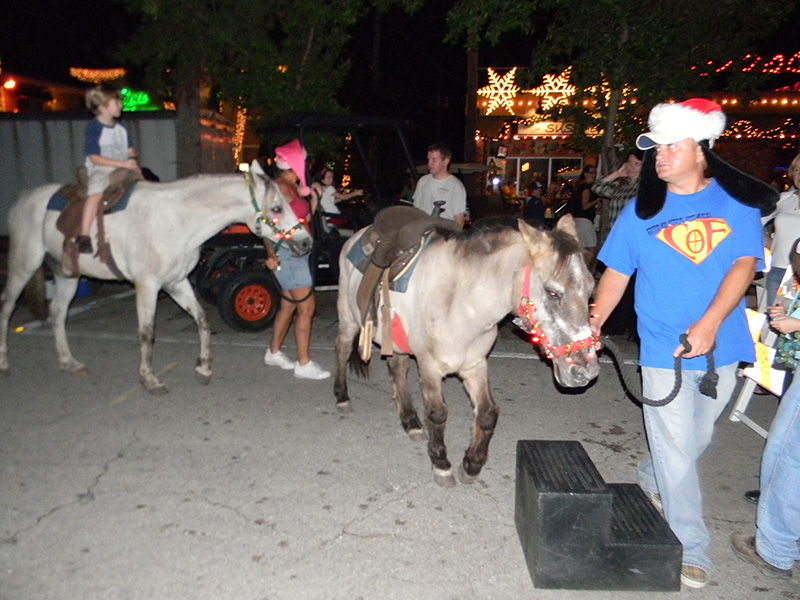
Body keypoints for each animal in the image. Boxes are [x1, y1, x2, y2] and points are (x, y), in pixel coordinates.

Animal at [0, 159, 312, 394]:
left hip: (68, 275)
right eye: (277, 207)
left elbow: (202, 320)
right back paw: (4, 363)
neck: (178, 220)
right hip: (24, 264)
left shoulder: (176, 283)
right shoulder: (147, 286)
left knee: (58, 313)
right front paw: (149, 378)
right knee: (6, 306)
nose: (306, 242)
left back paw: (69, 362)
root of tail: (24, 197)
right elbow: (147, 332)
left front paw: (203, 368)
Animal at [334, 214, 600, 487]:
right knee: (342, 350)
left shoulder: (475, 365)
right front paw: (441, 463)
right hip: (348, 319)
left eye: (591, 289)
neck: (460, 302)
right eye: (552, 292)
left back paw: (411, 422)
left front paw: (472, 464)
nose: (585, 370)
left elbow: (488, 413)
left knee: (397, 369)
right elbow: (437, 414)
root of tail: (359, 234)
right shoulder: (429, 367)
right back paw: (342, 397)